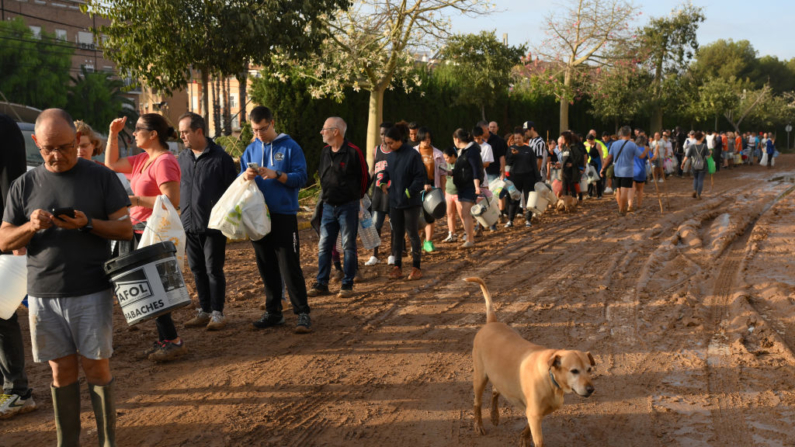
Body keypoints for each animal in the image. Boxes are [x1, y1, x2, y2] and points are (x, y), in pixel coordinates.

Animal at [466, 278, 596, 446]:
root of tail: (491, 322)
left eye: (589, 369)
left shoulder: (535, 412)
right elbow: (539, 441)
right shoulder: (534, 413)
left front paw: (523, 437)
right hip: (480, 376)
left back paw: (495, 416)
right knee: (477, 402)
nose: (591, 389)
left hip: (500, 376)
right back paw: (479, 425)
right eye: (574, 371)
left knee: (495, 391)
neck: (550, 378)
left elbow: (528, 426)